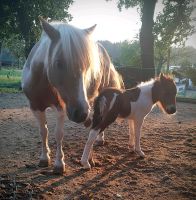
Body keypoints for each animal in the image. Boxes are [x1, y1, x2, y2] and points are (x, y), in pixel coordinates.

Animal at [21, 17, 122, 173]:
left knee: (97, 123)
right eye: (58, 63)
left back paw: (93, 153)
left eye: (88, 66)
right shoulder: (36, 106)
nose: (80, 113)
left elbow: (58, 134)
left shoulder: (61, 107)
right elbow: (43, 131)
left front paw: (59, 164)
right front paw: (44, 158)